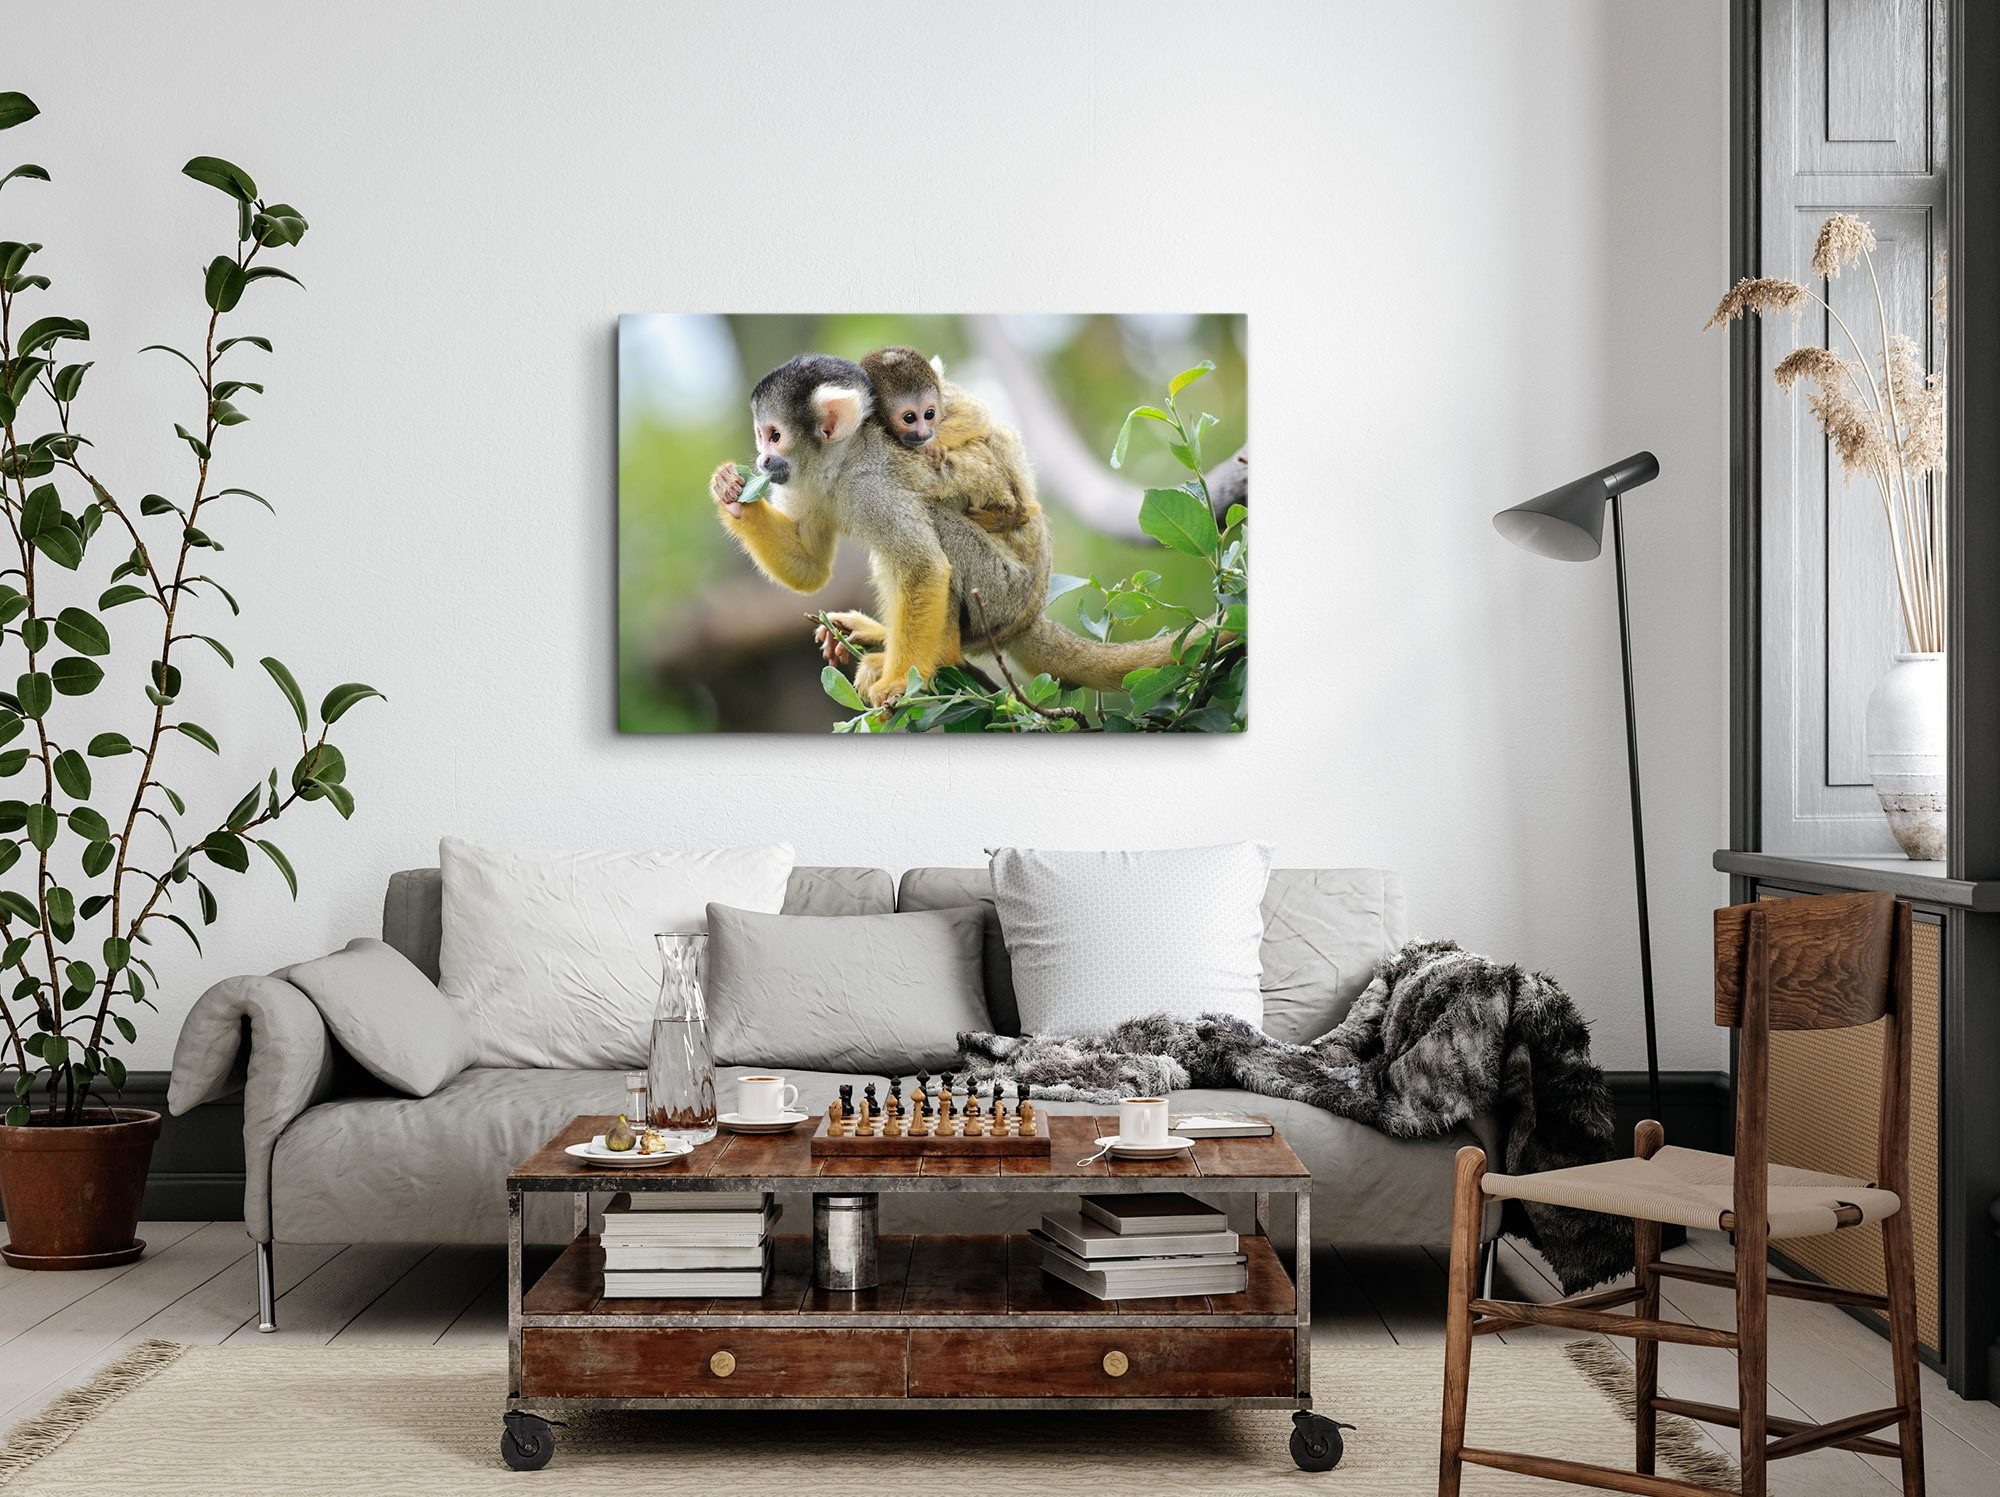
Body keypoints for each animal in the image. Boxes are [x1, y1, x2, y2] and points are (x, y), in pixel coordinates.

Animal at [857, 346, 1037, 536]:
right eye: (909, 418)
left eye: (929, 414)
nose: (924, 434)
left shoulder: (945, 396)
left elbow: (976, 414)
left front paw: (932, 446)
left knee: (998, 434)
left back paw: (1018, 515)